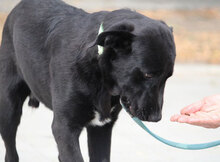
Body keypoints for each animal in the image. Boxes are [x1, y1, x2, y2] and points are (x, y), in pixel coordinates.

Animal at [0, 0, 175, 161]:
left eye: (168, 76)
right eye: (148, 75)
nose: (156, 118)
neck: (101, 76)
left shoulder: (102, 128)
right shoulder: (64, 127)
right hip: (8, 108)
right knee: (10, 152)